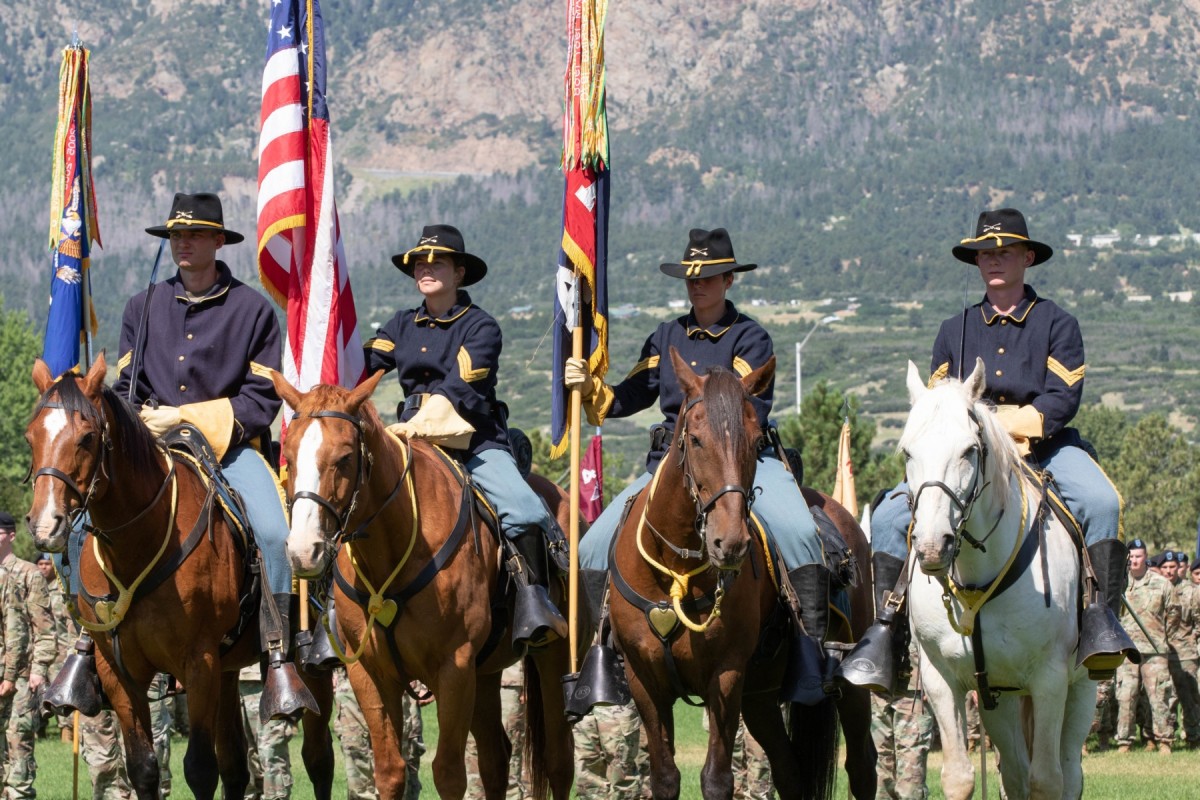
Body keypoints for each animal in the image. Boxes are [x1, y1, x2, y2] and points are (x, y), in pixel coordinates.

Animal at [25, 357, 336, 800]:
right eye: (31, 437)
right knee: (236, 766)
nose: (44, 525)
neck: (140, 543)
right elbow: (143, 768)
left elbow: (201, 769)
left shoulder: (198, 663)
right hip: (227, 672)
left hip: (308, 667)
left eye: (86, 437)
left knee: (318, 758)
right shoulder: (119, 672)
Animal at [271, 371, 576, 800]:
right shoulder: (370, 673)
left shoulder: (454, 667)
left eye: (344, 458)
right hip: (485, 674)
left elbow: (448, 773)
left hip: (554, 654)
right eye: (289, 457)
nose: (304, 551)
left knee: (558, 759)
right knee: (496, 758)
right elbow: (389, 770)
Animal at [609, 350, 873, 800]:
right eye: (696, 439)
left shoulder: (727, 675)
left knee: (861, 765)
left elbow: (717, 779)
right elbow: (664, 777)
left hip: (849, 683)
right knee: (789, 771)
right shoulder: (644, 679)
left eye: (754, 442)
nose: (729, 542)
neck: (676, 571)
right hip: (761, 698)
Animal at [902, 359, 1099, 800]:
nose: (932, 547)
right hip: (1002, 699)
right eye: (907, 451)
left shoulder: (1050, 681)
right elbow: (960, 777)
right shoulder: (943, 682)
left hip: (1081, 690)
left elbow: (1047, 781)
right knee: (1013, 771)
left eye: (969, 451)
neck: (976, 582)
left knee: (1068, 773)